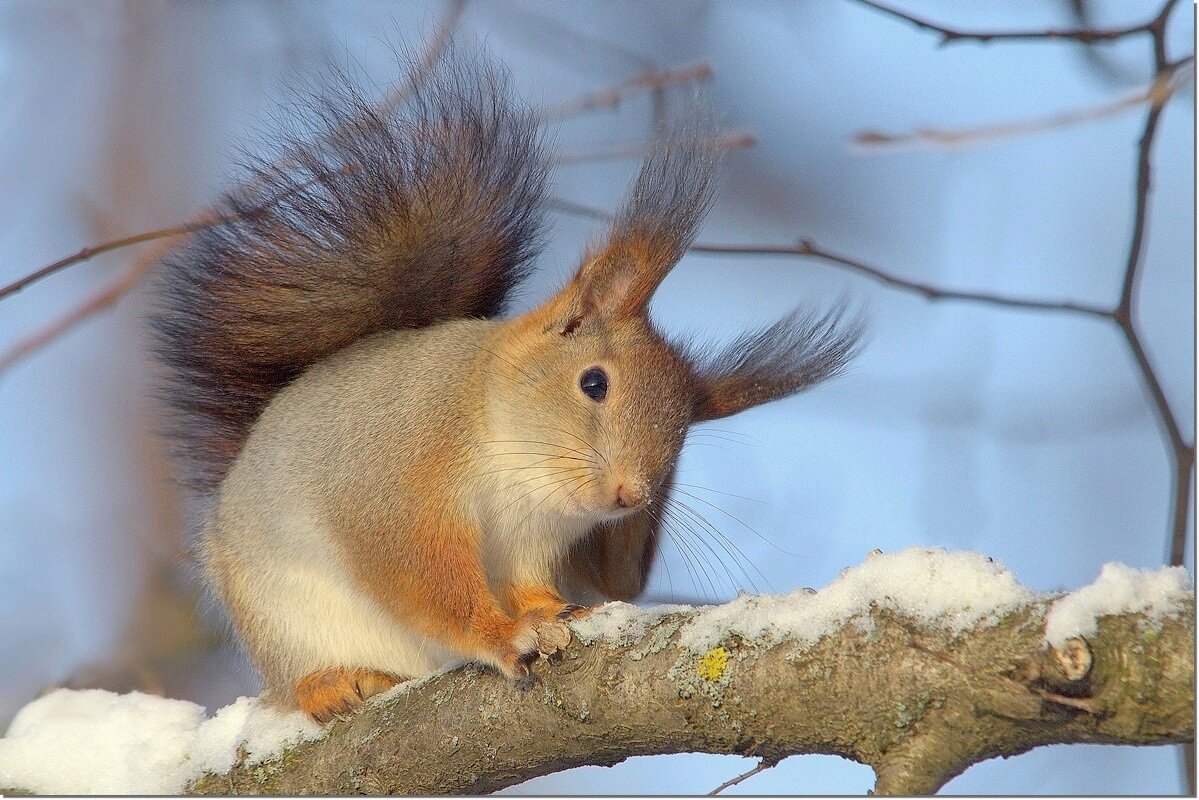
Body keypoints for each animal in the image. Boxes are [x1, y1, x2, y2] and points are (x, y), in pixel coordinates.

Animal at [149, 50, 863, 724]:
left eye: (686, 430)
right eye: (594, 383)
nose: (630, 496)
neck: (509, 455)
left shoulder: (533, 540)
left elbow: (528, 584)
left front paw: (555, 611)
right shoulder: (395, 491)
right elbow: (423, 579)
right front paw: (501, 633)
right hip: (278, 614)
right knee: (294, 681)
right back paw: (327, 685)